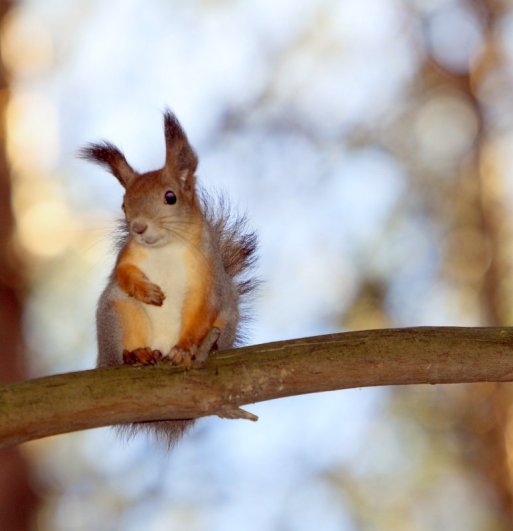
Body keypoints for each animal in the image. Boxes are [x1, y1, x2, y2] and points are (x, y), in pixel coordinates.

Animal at [81, 111, 258, 444]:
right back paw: (136, 355)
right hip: (117, 315)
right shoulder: (128, 255)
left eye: (170, 197)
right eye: (124, 204)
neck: (166, 247)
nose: (138, 227)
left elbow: (202, 310)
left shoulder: (207, 278)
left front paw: (185, 349)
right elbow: (121, 273)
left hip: (226, 320)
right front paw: (145, 290)